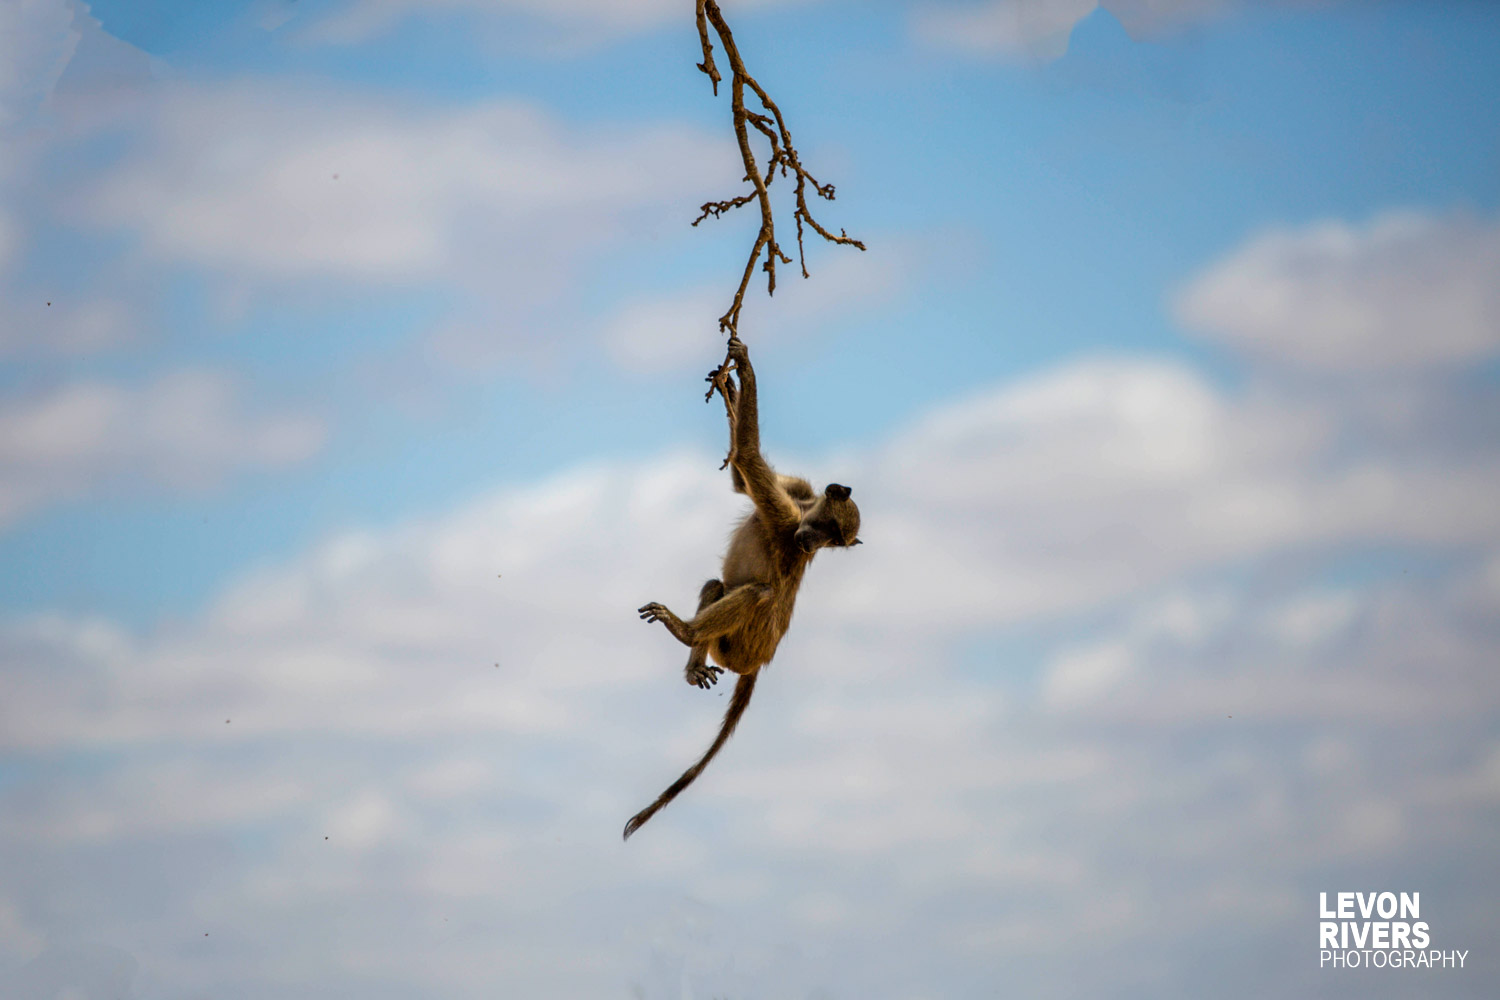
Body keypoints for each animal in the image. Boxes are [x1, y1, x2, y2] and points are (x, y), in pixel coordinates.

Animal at [624, 336, 861, 839]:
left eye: (832, 541)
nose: (809, 543)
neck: (802, 513)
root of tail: (759, 661)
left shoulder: (785, 518)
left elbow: (748, 459)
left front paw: (745, 368)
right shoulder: (798, 494)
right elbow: (739, 472)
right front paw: (731, 384)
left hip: (740, 647)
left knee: (756, 593)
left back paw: (687, 633)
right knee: (719, 584)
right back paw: (694, 658)